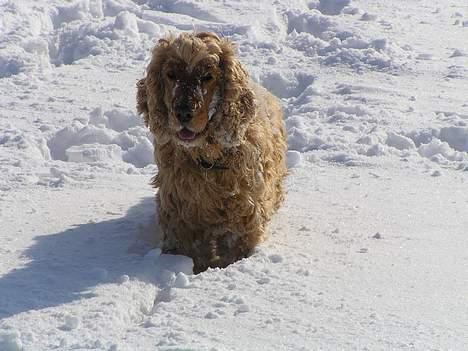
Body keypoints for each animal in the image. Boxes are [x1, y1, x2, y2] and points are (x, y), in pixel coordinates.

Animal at [136, 31, 286, 274]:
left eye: (207, 76)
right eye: (171, 75)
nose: (183, 113)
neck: (207, 159)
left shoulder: (245, 211)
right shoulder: (180, 212)